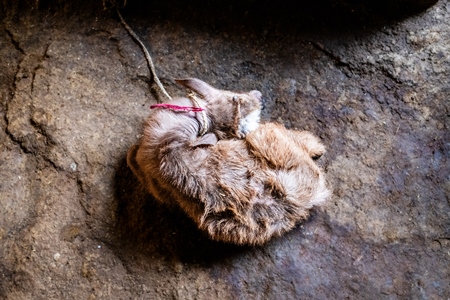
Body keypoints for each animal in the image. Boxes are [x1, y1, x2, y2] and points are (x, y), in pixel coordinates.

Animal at [127, 78, 330, 245]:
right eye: (235, 97)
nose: (261, 97)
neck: (169, 145)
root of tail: (308, 197)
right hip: (267, 134)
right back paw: (317, 145)